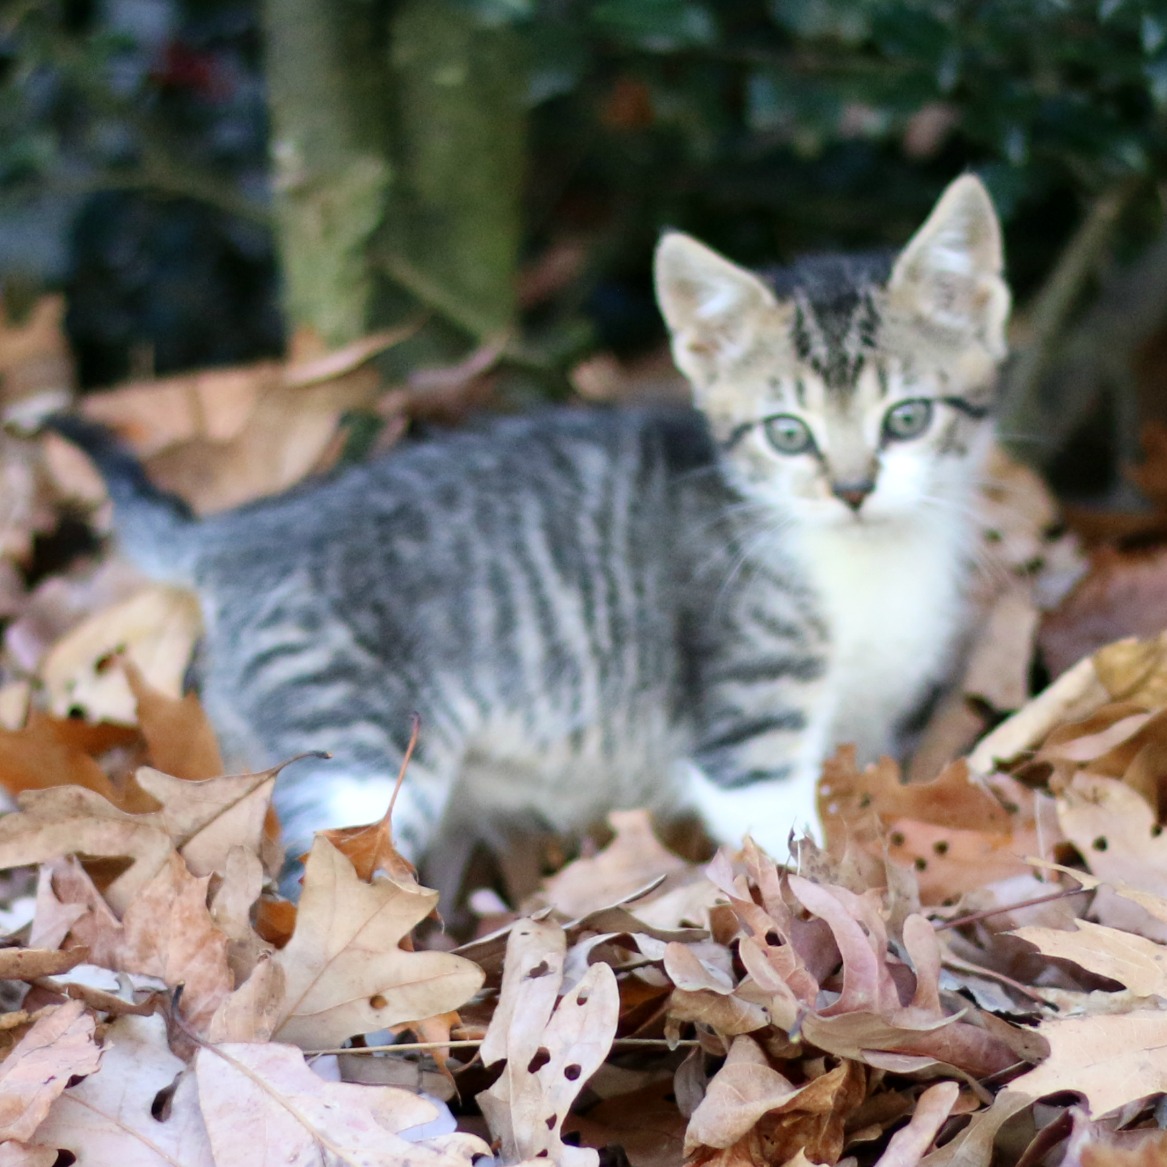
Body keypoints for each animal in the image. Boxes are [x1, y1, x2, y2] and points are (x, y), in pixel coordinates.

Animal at [50, 172, 1008, 868]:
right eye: (787, 433)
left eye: (906, 418)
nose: (852, 488)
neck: (868, 561)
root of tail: (247, 527)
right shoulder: (748, 727)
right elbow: (788, 844)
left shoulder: (866, 719)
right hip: (354, 741)